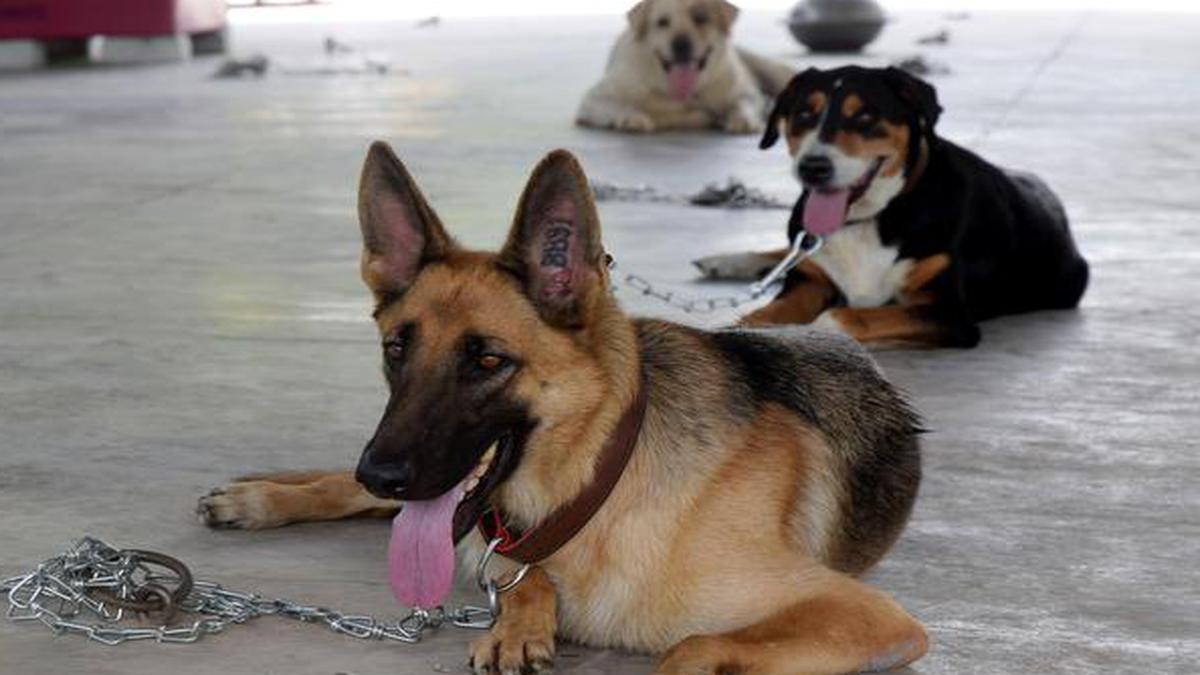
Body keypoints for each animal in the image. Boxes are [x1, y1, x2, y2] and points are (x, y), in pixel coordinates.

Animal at [196, 141, 926, 672]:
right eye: (396, 348)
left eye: (488, 360)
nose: (382, 471)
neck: (600, 485)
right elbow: (521, 573)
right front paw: (520, 621)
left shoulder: (871, 616)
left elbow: (692, 645)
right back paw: (258, 498)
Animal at [573, 0, 792, 133]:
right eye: (662, 22)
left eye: (701, 18)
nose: (681, 44)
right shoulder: (594, 98)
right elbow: (618, 106)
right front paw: (632, 118)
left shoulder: (744, 91)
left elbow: (743, 103)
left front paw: (743, 120)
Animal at [691, 65, 1094, 345]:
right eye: (805, 114)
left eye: (865, 117)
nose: (813, 167)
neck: (868, 219)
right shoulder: (809, 282)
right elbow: (762, 313)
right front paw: (730, 325)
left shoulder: (948, 313)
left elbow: (846, 316)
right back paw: (727, 260)